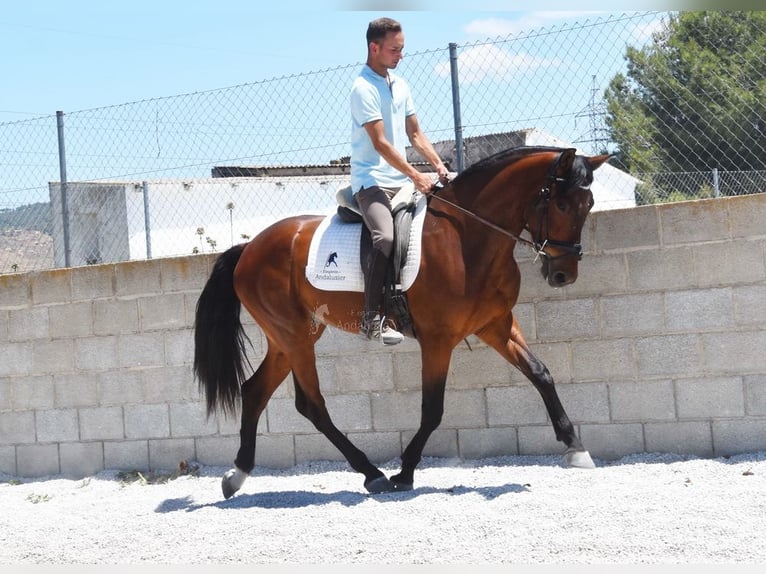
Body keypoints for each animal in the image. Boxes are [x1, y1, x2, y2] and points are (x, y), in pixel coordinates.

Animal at [193, 145, 611, 499]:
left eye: (589, 204)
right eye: (560, 203)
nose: (564, 275)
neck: (468, 237)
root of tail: (249, 247)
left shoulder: (496, 325)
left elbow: (541, 374)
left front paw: (576, 448)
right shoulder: (438, 340)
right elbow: (433, 409)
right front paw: (405, 472)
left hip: (291, 336)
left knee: (254, 391)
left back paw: (237, 475)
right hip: (294, 336)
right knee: (311, 405)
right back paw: (372, 473)